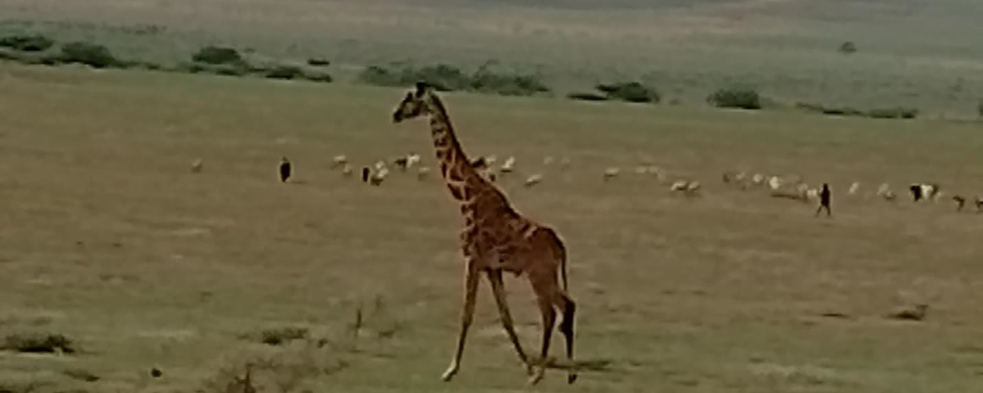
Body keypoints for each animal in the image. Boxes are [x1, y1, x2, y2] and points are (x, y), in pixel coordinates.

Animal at [392, 81, 576, 384]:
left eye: (410, 99)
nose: (395, 114)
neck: (466, 196)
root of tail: (561, 246)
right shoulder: (492, 267)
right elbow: (505, 316)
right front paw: (525, 364)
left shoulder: (473, 259)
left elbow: (467, 313)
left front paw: (450, 370)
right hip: (546, 274)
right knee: (567, 306)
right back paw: (566, 374)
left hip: (539, 274)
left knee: (551, 312)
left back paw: (540, 375)